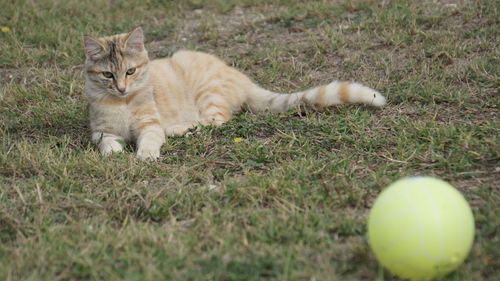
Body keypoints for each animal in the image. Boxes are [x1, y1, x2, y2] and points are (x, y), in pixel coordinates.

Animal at [83, 27, 386, 160]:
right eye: (108, 75)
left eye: (131, 71)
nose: (121, 87)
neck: (122, 102)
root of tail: (242, 79)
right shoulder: (100, 131)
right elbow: (106, 143)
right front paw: (113, 153)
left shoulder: (150, 125)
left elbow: (150, 140)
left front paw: (145, 154)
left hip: (207, 92)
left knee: (218, 120)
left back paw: (179, 128)